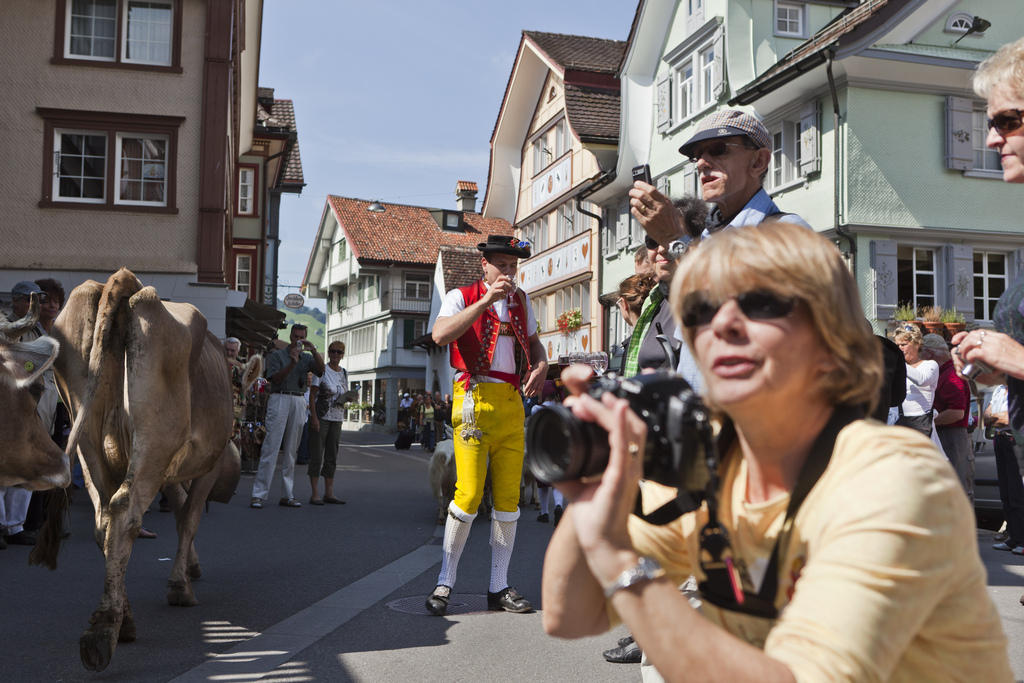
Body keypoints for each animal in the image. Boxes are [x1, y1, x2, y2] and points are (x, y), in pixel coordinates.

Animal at [32, 270, 256, 671]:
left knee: (104, 519)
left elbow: (180, 509)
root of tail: (127, 282)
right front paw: (181, 585)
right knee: (125, 513)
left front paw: (190, 568)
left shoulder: (169, 470)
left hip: (89, 439)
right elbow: (189, 517)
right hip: (154, 440)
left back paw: (123, 619)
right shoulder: (205, 466)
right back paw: (104, 631)